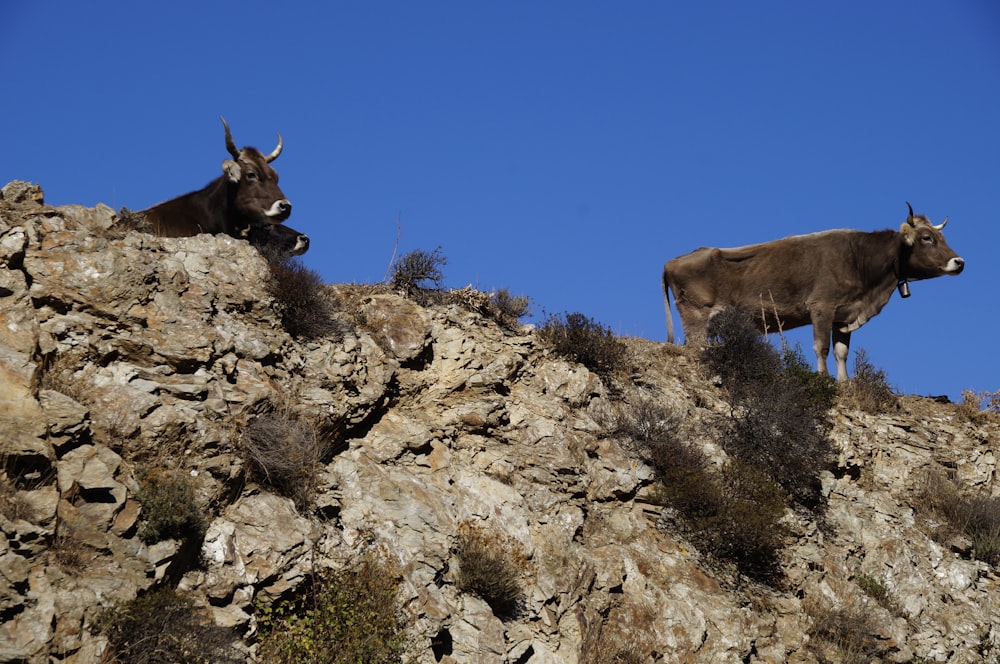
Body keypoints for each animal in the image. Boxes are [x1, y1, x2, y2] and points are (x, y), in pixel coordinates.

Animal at [660, 202, 964, 382]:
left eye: (942, 237)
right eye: (927, 238)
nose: (959, 262)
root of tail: (672, 262)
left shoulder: (844, 315)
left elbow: (841, 351)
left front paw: (845, 383)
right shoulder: (821, 307)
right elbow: (822, 347)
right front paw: (823, 377)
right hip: (696, 313)